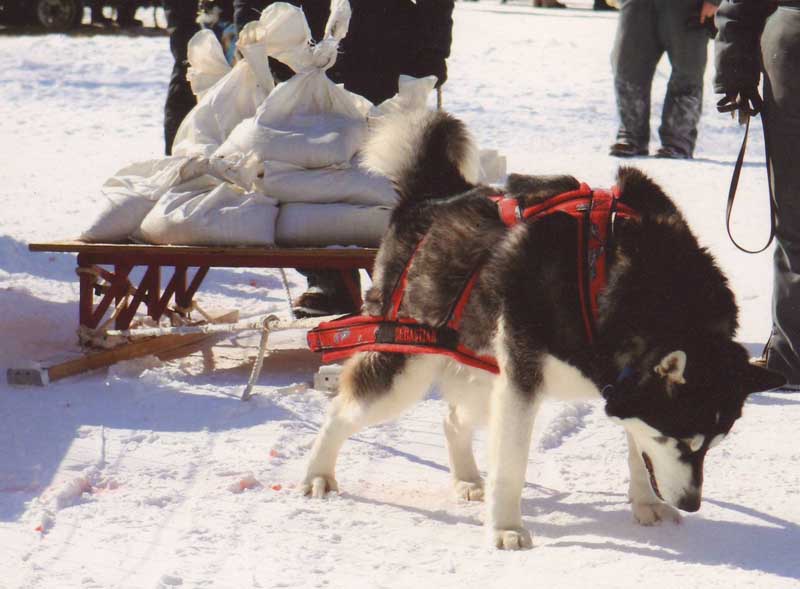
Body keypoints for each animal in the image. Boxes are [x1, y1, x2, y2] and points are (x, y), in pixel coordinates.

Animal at [298, 109, 780, 548]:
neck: (618, 276)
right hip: (409, 365)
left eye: (712, 444)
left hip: (484, 369)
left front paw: (645, 502)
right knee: (341, 411)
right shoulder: (523, 385)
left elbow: (635, 447)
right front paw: (506, 528)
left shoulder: (615, 383)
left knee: (453, 419)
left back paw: (467, 478)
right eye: (680, 442)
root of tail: (434, 194)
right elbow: (512, 464)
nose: (692, 503)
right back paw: (318, 475)